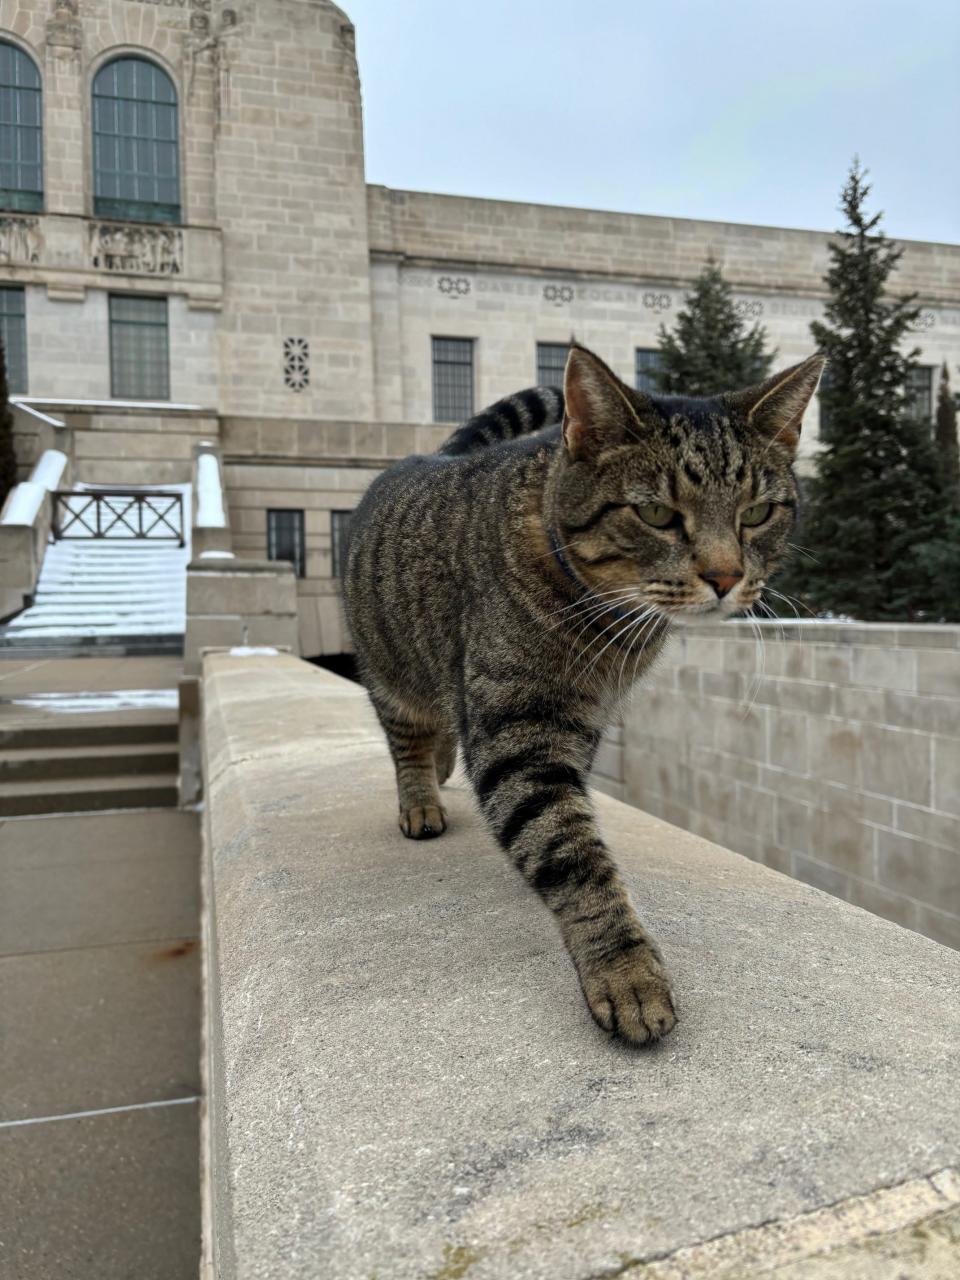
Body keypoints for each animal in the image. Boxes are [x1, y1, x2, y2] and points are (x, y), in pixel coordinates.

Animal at [345, 345, 829, 1044]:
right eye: (656, 514)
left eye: (757, 513)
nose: (725, 575)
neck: (606, 629)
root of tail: (424, 455)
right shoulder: (518, 729)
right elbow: (568, 849)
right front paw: (624, 970)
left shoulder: (584, 722)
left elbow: (565, 823)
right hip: (390, 670)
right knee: (408, 738)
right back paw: (420, 799)